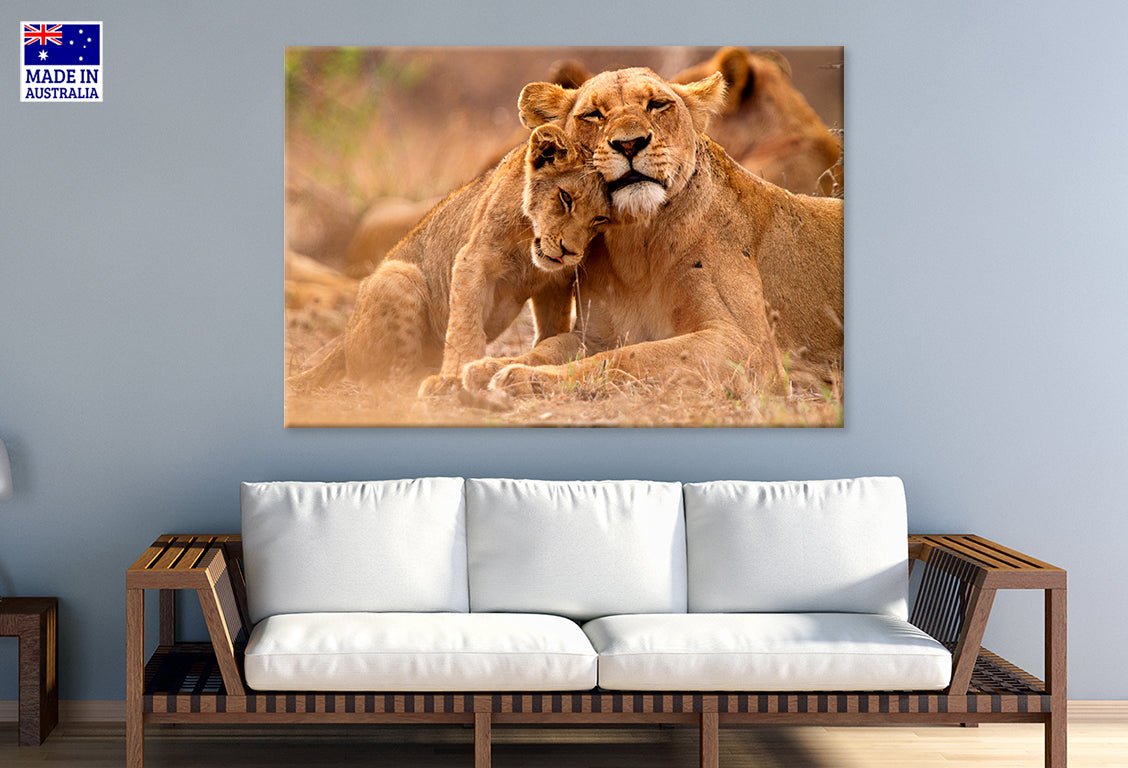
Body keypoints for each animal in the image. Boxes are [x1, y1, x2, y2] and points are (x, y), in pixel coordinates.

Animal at [286, 123, 610, 393]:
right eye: (566, 198)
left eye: (600, 219)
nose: (569, 252)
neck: (529, 245)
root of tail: (342, 341)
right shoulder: (472, 260)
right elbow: (465, 326)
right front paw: (455, 375)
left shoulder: (555, 283)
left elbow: (552, 329)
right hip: (398, 275)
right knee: (389, 378)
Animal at [463, 67, 842, 398]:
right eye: (593, 114)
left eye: (657, 105)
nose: (630, 144)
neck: (636, 245)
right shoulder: (596, 335)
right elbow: (549, 346)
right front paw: (491, 366)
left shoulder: (748, 347)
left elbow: (630, 356)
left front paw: (526, 378)